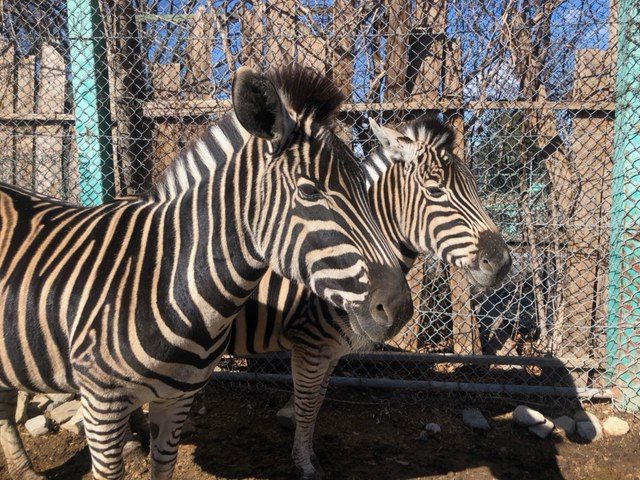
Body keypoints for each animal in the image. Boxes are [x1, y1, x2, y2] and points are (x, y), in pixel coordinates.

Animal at [0, 65, 416, 480]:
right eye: (310, 192)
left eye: (366, 190)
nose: (399, 310)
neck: (170, 282)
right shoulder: (101, 403)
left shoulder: (178, 398)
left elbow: (163, 468)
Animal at [220, 115, 510, 476]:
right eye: (435, 191)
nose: (502, 262)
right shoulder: (310, 344)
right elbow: (306, 406)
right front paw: (306, 465)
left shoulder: (331, 350)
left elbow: (317, 403)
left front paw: (311, 456)